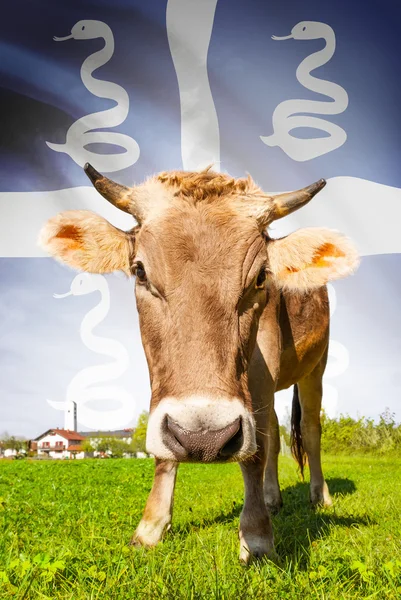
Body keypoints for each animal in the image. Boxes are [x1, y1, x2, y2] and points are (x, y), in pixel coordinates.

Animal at [39, 164, 358, 564]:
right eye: (140, 271)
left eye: (260, 277)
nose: (203, 438)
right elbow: (167, 449)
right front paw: (150, 527)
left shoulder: (264, 362)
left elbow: (254, 452)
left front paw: (256, 536)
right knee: (271, 430)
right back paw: (273, 498)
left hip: (316, 366)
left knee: (310, 431)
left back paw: (320, 496)